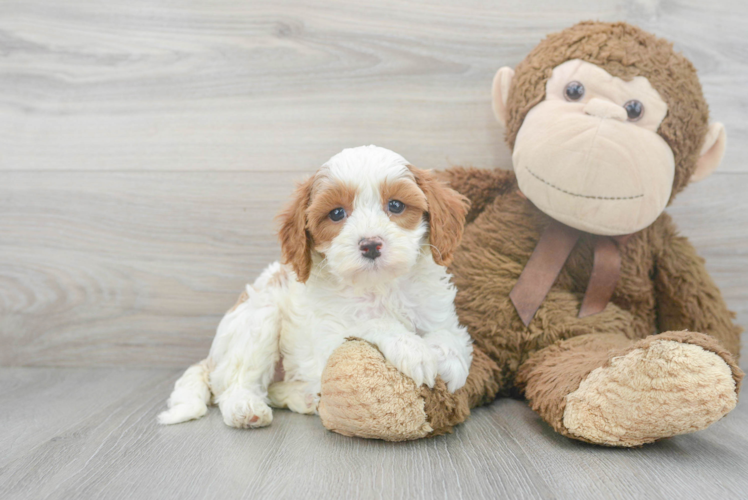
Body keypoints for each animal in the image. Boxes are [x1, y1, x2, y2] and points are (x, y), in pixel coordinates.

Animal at [159, 146, 474, 430]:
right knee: (233, 385)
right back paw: (246, 408)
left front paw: (449, 359)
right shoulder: (329, 339)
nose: (370, 245)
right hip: (259, 318)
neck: (380, 286)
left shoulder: (437, 311)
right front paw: (413, 349)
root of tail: (210, 359)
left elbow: (449, 333)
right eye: (336, 213)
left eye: (395, 205)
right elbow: (371, 322)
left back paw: (306, 398)